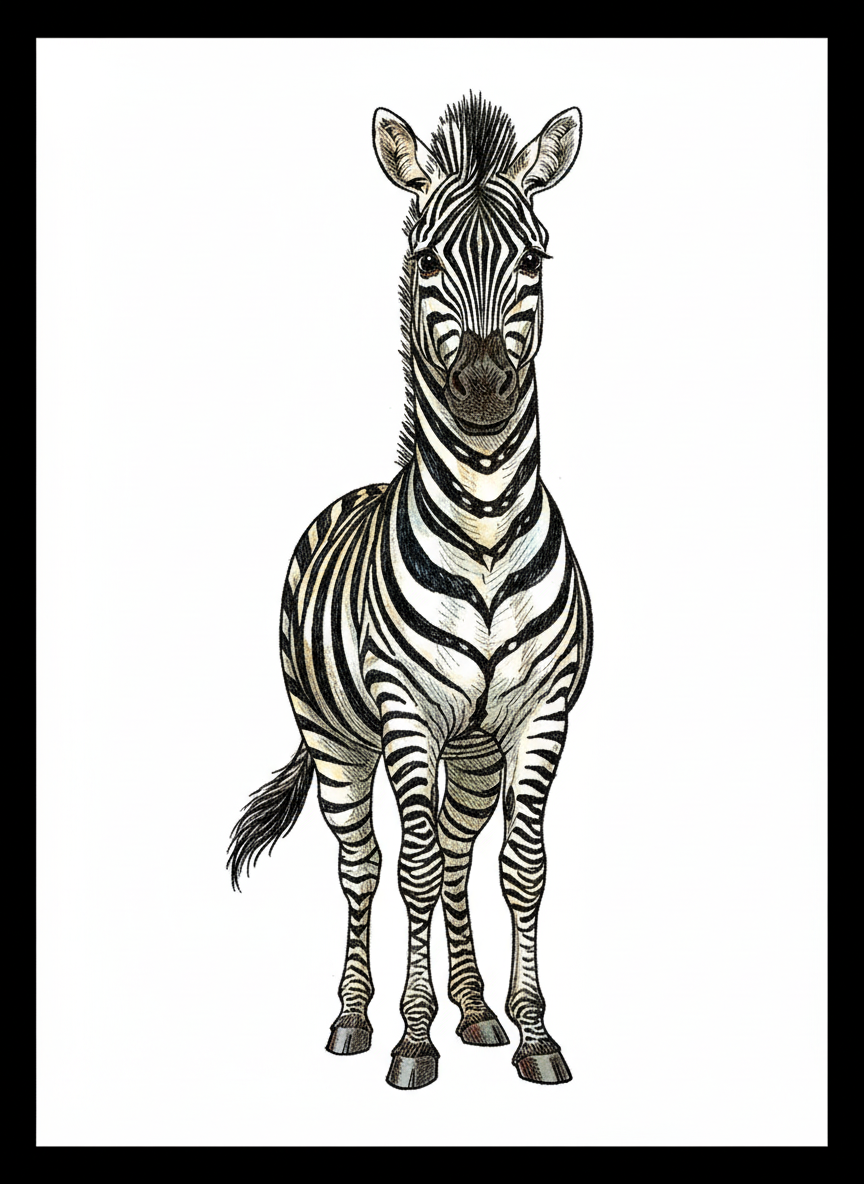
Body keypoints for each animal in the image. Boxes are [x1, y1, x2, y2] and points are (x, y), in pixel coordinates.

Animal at [228, 94, 592, 1090]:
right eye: (428, 259)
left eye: (535, 258)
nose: (483, 386)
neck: (485, 528)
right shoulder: (405, 713)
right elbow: (414, 872)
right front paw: (411, 1039)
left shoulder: (542, 711)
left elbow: (521, 867)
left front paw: (533, 1034)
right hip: (338, 742)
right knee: (365, 865)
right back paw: (356, 1018)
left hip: (473, 749)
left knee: (463, 856)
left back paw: (477, 1013)